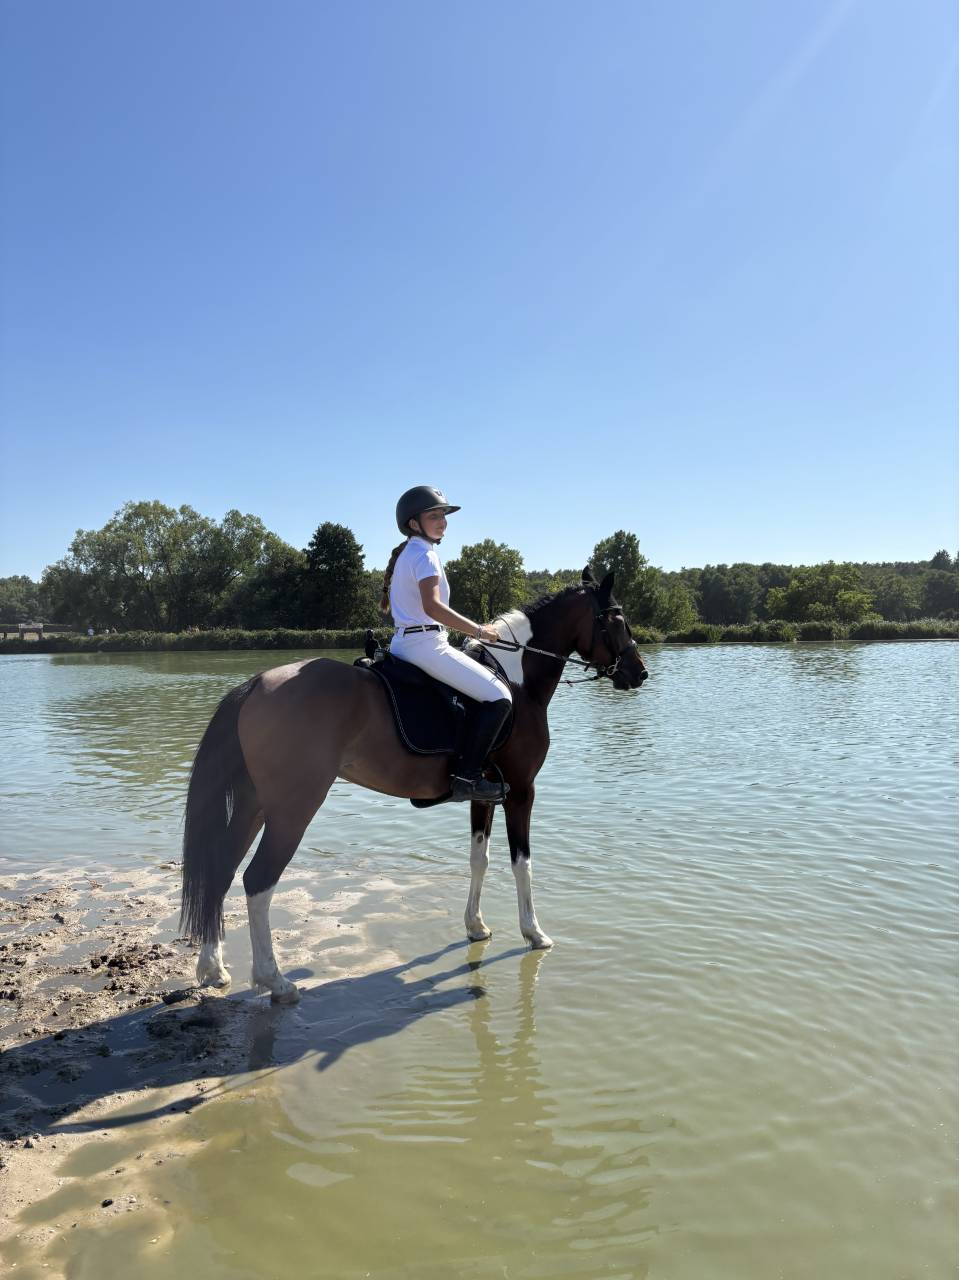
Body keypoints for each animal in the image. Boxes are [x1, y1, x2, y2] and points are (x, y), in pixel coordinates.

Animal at [180, 566, 649, 1003]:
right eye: (617, 619)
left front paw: (476, 926)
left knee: (222, 869)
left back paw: (213, 968)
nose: (639, 672)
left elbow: (479, 859)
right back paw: (274, 981)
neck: (518, 679)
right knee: (258, 880)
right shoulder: (521, 791)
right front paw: (534, 933)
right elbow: (523, 863)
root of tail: (255, 683)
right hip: (292, 810)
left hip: (254, 805)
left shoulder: (484, 795)